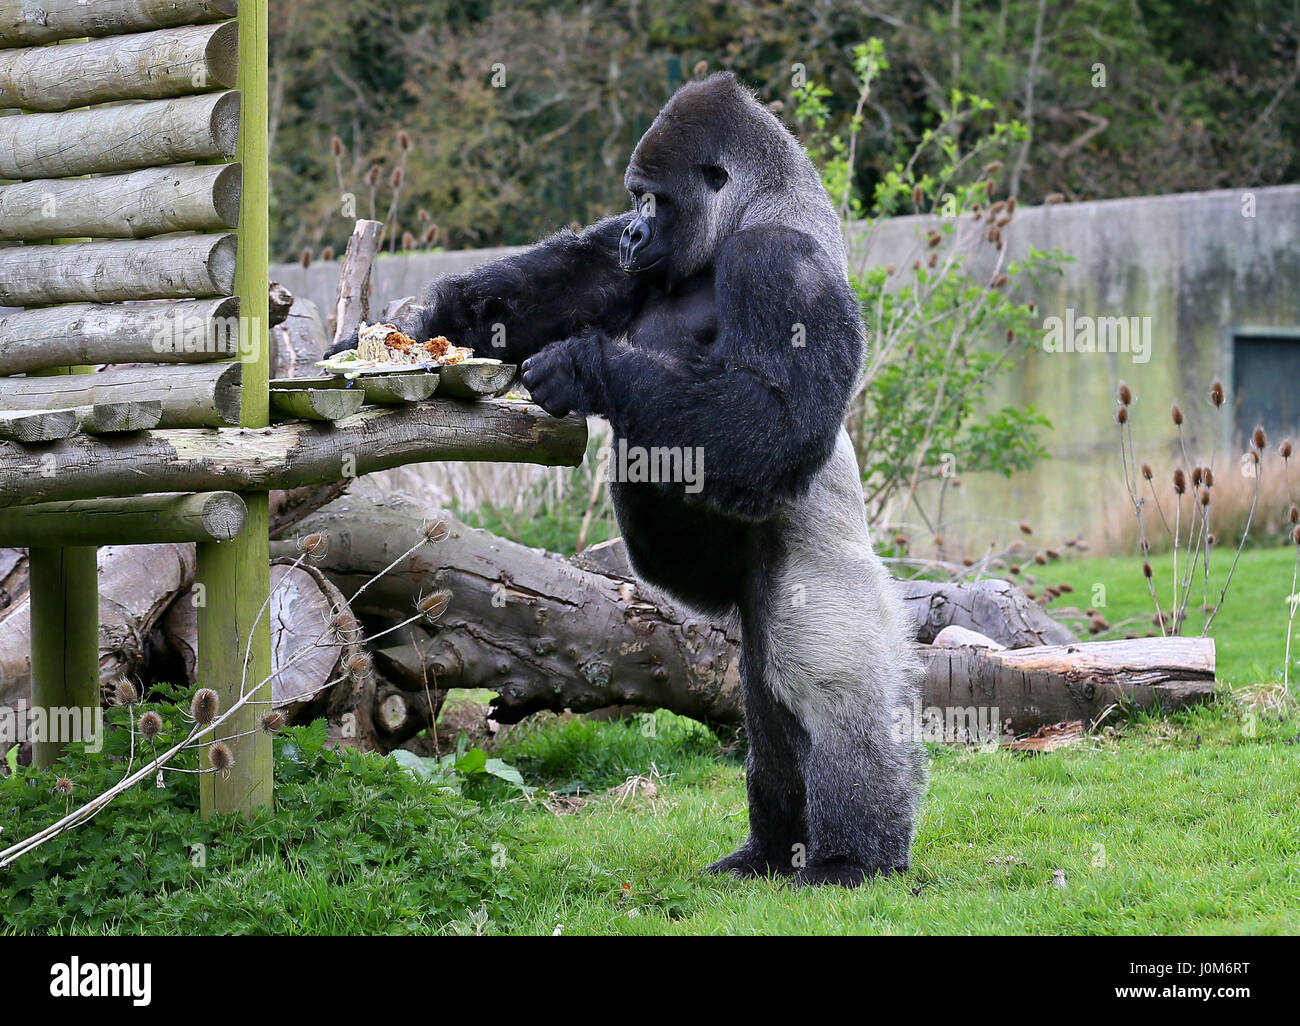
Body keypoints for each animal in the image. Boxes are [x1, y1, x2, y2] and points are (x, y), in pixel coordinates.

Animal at [335, 74, 925, 889]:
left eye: (657, 200)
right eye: (635, 202)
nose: (637, 237)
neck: (755, 207)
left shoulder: (780, 258)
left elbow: (780, 421)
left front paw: (585, 368)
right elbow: (534, 301)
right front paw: (417, 329)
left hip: (820, 555)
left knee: (827, 683)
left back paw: (851, 856)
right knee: (767, 699)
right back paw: (772, 850)